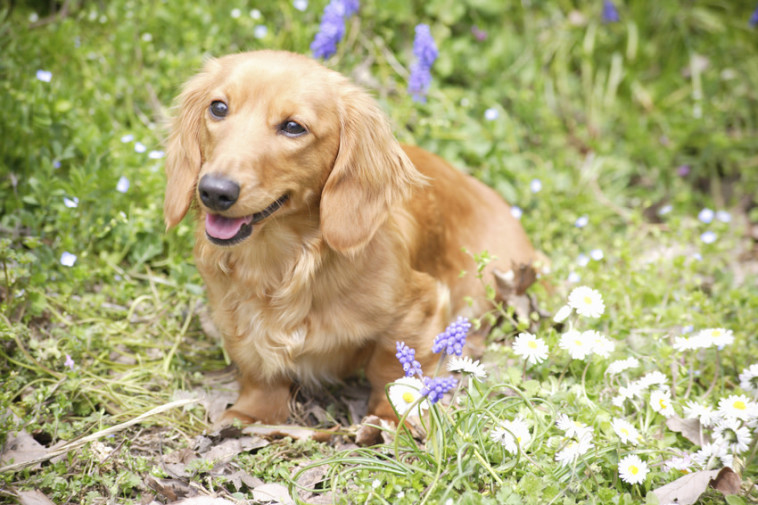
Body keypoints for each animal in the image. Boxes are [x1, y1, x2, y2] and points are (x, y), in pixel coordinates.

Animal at [165, 51, 536, 424]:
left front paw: (392, 418)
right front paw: (252, 413)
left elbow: (393, 369)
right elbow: (259, 370)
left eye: (293, 127)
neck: (285, 263)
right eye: (218, 108)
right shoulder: (235, 318)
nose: (215, 191)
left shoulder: (422, 306)